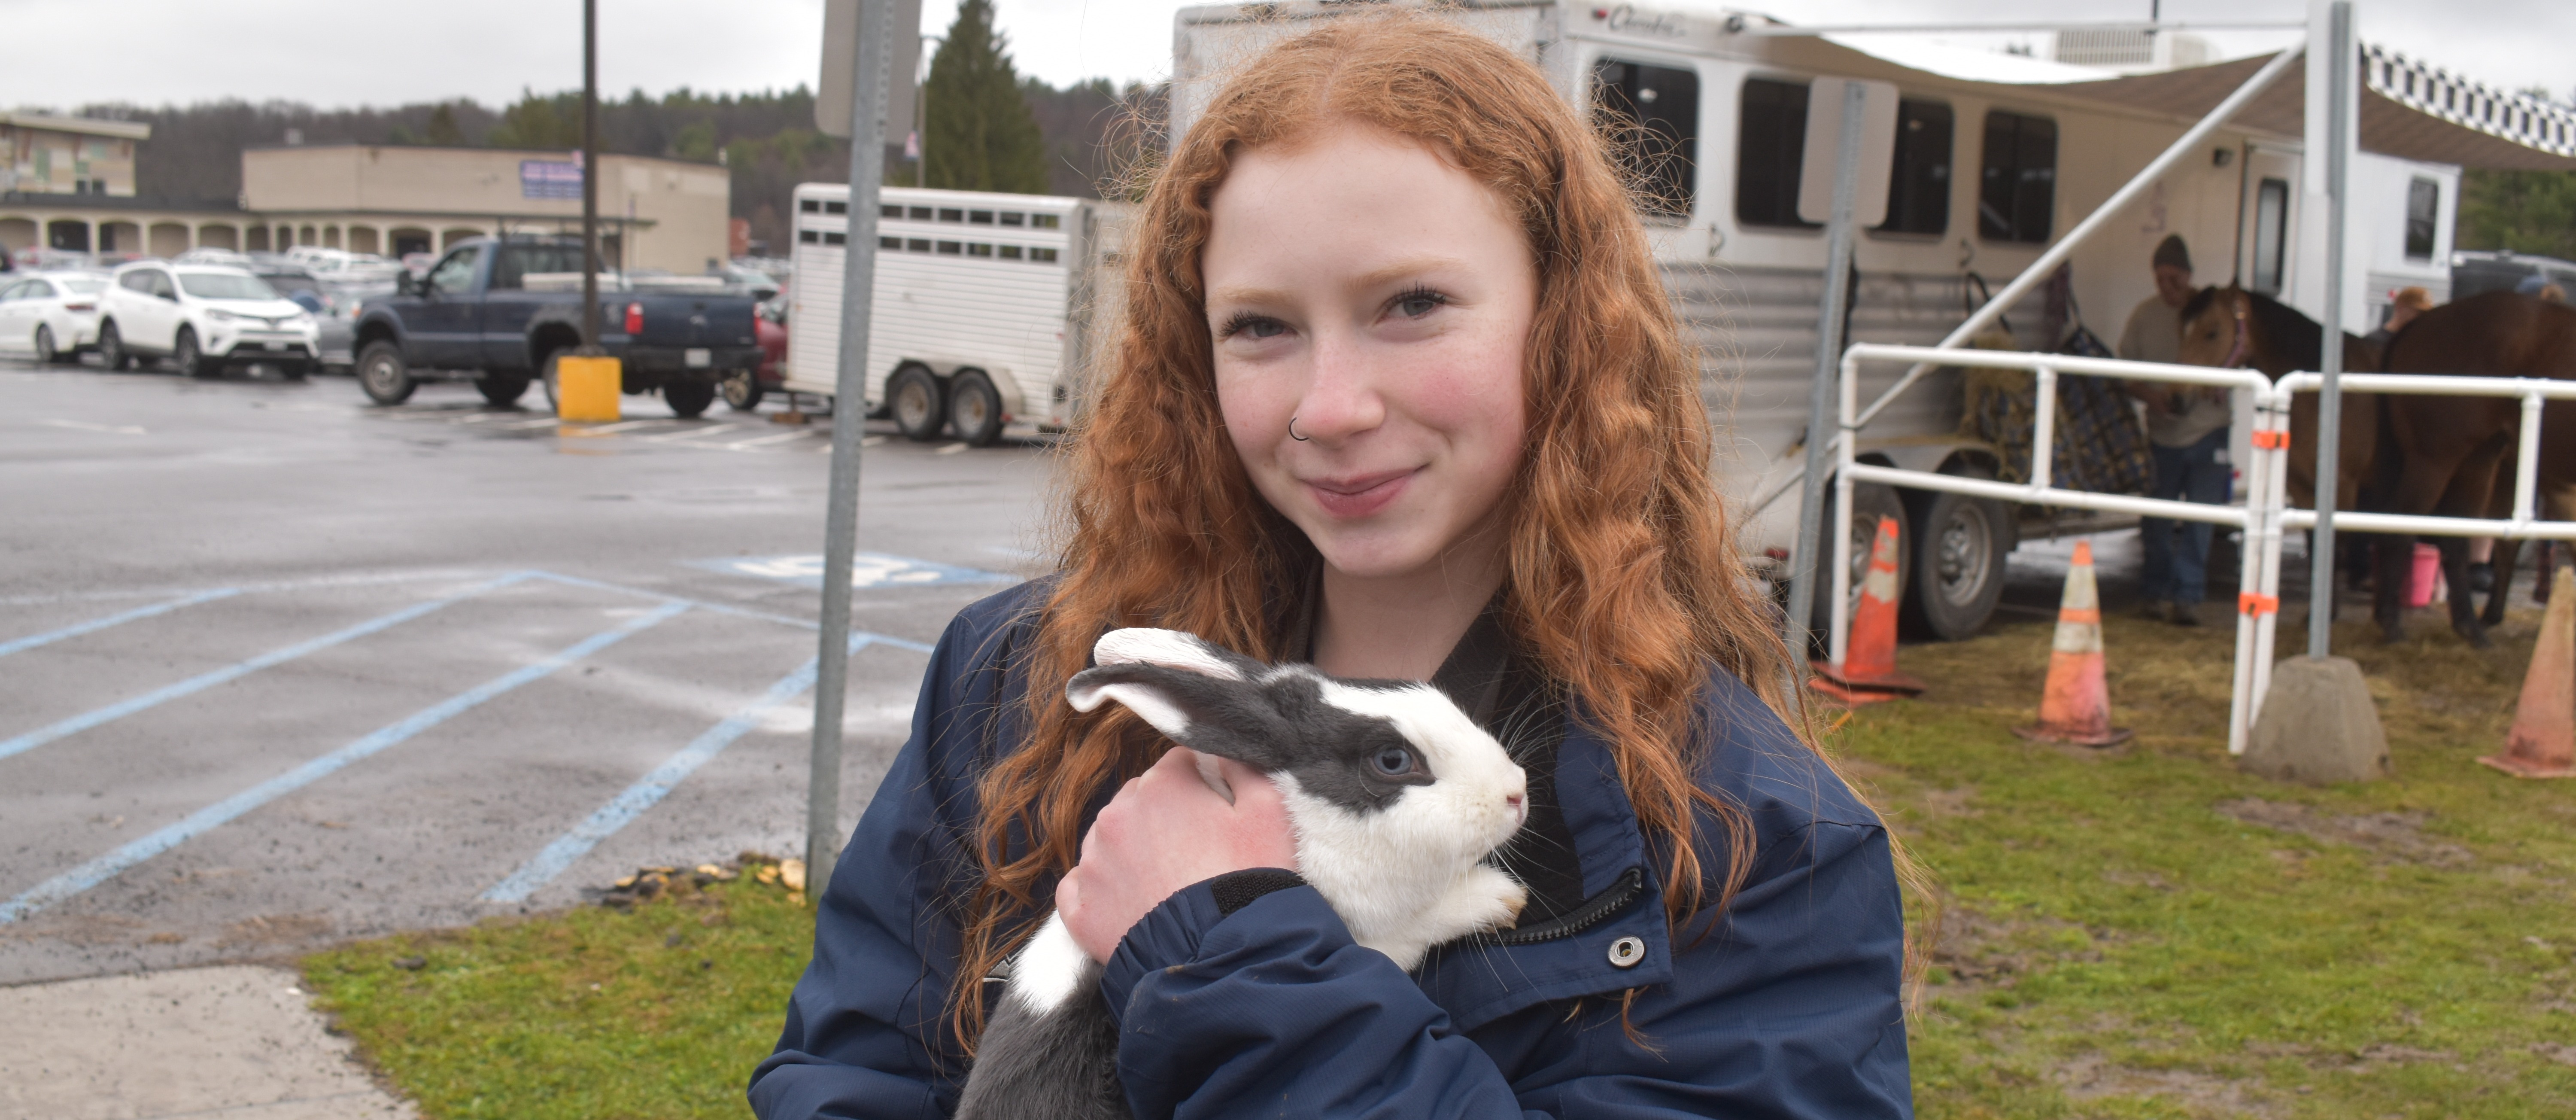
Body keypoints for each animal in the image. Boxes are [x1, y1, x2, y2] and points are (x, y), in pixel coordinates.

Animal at [952, 627, 1533, 1120]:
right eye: (1392, 760)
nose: (1517, 791)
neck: (1306, 824)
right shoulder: (1379, 936)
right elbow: (1429, 917)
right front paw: (1501, 897)